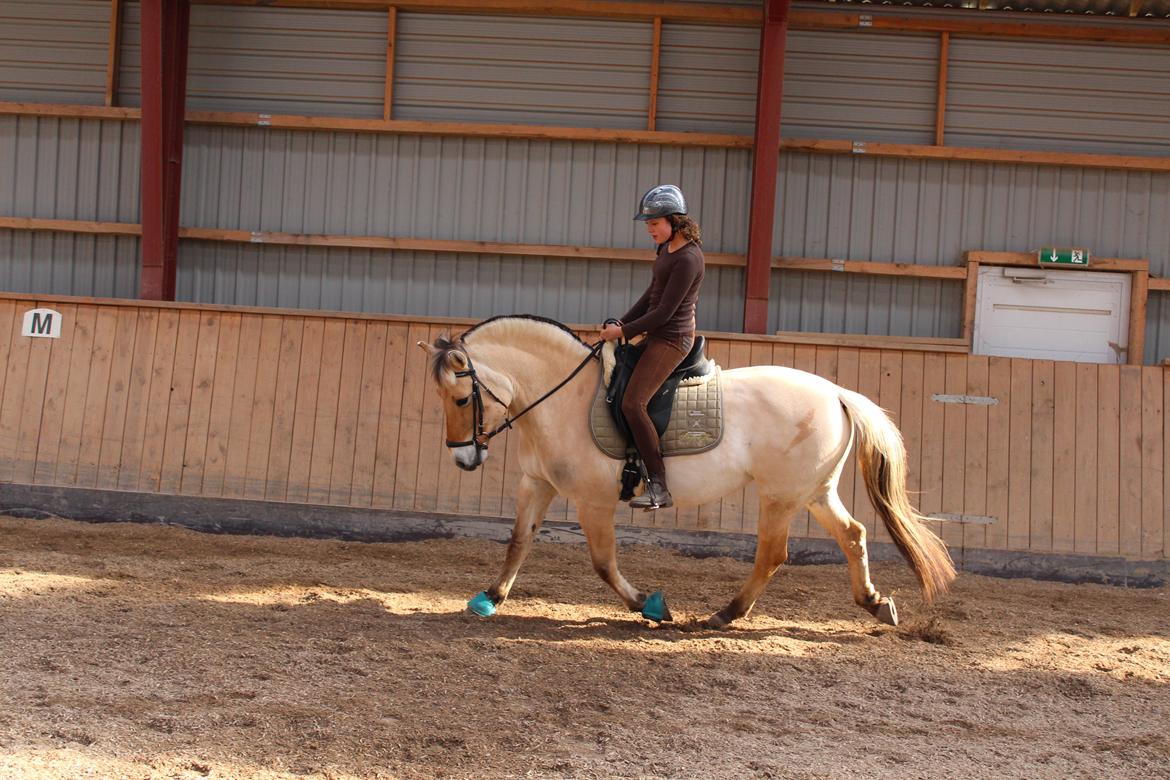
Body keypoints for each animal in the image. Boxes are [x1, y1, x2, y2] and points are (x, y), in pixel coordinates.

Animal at [418, 315, 955, 628]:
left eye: (461, 398)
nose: (464, 458)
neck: (562, 396)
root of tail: (837, 392)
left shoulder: (593, 500)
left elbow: (603, 563)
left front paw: (651, 605)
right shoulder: (538, 484)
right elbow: (518, 542)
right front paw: (489, 597)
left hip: (780, 495)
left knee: (773, 554)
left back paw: (724, 614)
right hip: (814, 490)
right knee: (853, 535)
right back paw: (875, 603)